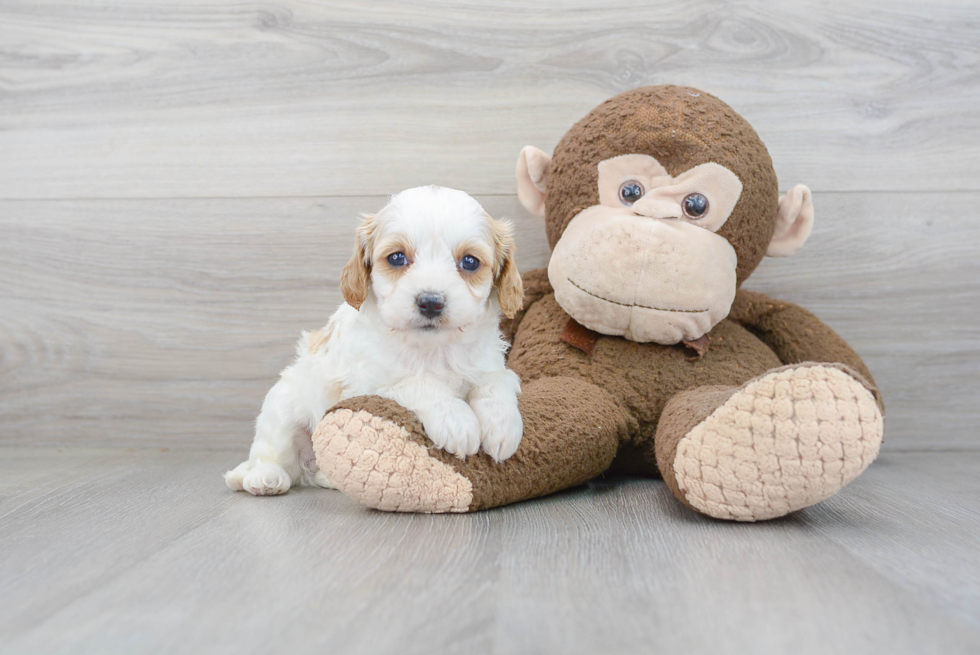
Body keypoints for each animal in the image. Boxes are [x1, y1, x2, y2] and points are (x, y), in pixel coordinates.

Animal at [225, 187, 524, 494]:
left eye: (470, 262)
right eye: (396, 258)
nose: (430, 302)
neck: (433, 349)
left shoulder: (489, 364)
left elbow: (497, 381)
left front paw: (502, 427)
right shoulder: (368, 386)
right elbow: (420, 383)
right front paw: (456, 419)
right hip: (282, 411)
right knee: (271, 456)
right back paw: (265, 478)